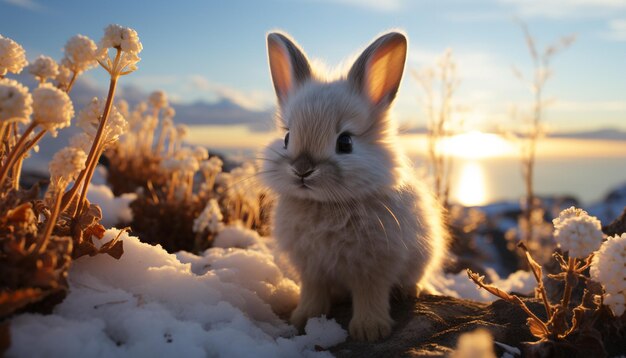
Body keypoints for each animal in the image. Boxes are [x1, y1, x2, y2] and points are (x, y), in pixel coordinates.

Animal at [260, 30, 446, 342]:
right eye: (287, 137)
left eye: (345, 142)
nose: (302, 170)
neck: (325, 204)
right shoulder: (311, 270)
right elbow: (314, 294)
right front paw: (303, 319)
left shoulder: (373, 268)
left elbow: (370, 295)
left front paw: (370, 331)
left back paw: (411, 291)